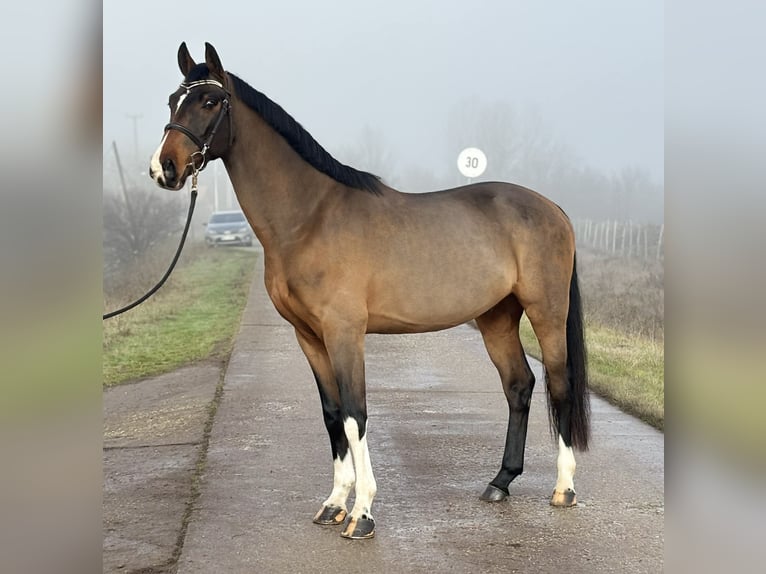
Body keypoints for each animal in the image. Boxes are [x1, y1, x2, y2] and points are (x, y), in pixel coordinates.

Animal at [150, 42, 590, 540]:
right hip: (496, 317)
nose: (164, 168)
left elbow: (354, 414)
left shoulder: (344, 332)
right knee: (519, 385)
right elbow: (331, 413)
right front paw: (334, 503)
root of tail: (552, 208)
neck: (309, 218)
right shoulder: (309, 336)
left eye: (209, 102)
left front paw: (362, 514)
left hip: (546, 312)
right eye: (173, 101)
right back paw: (500, 482)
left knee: (560, 384)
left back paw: (564, 488)